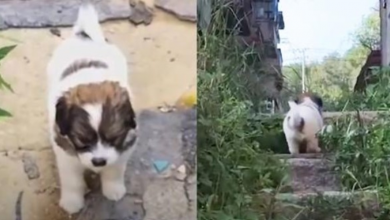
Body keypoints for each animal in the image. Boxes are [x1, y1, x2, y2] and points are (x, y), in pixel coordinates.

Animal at [46, 3, 137, 214]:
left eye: (113, 138)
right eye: (82, 140)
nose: (98, 162)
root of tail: (85, 36)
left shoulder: (123, 148)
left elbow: (114, 170)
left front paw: (113, 190)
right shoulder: (66, 153)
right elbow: (72, 181)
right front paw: (72, 202)